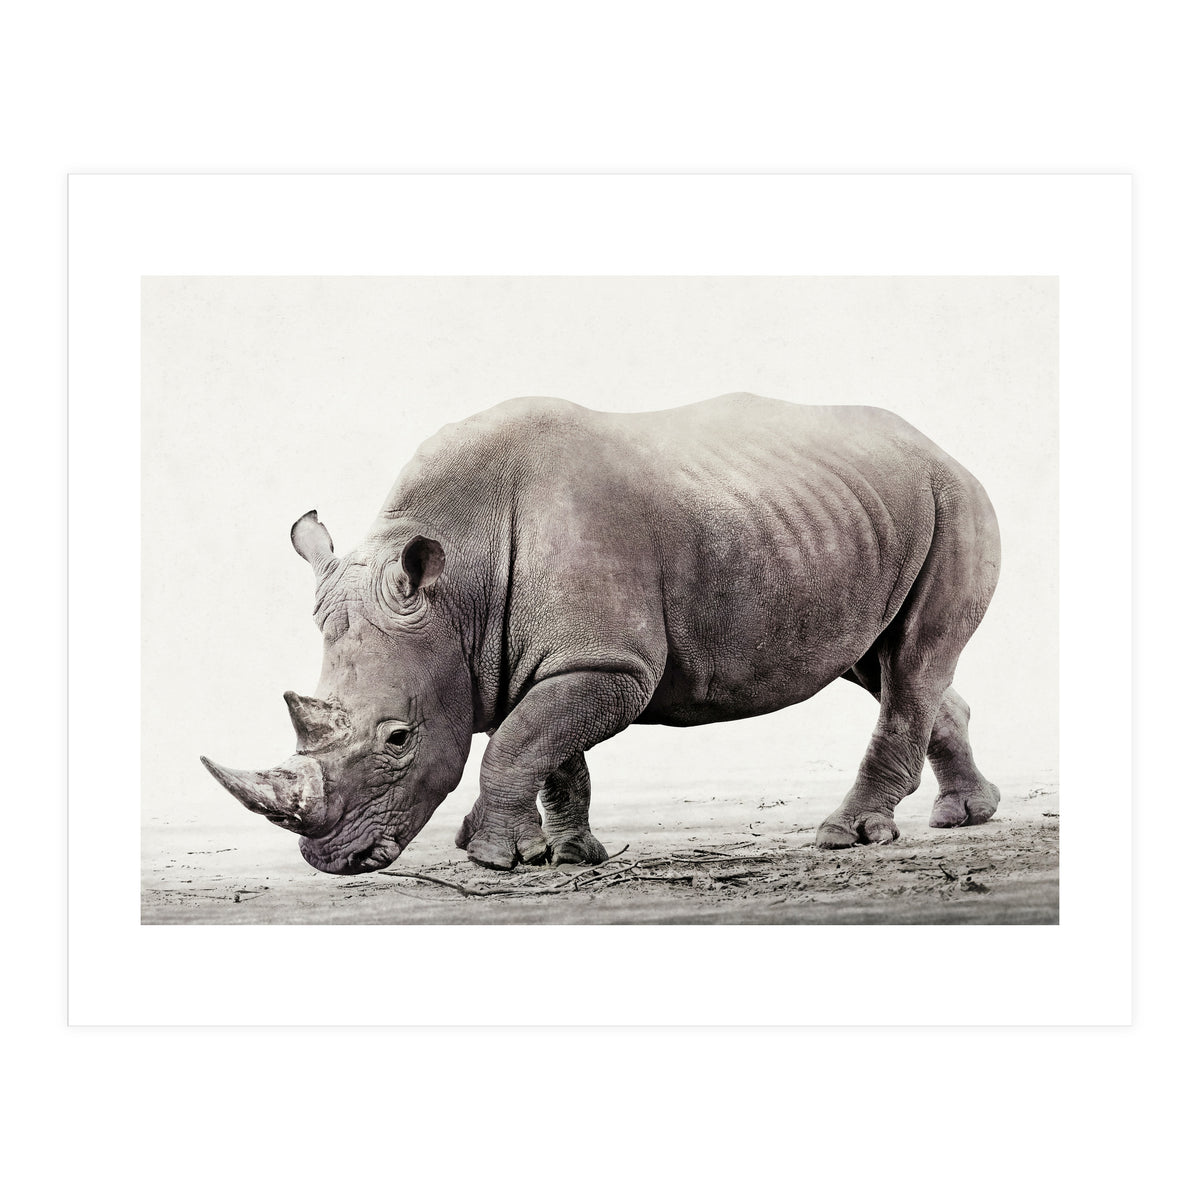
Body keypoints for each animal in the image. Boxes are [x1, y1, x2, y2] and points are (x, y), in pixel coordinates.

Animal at [202, 393, 1001, 874]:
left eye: (398, 739)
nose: (332, 860)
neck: (459, 587)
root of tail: (939, 446)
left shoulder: (609, 662)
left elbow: (520, 741)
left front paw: (493, 859)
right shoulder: (556, 658)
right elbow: (551, 750)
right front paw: (571, 854)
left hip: (955, 500)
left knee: (911, 662)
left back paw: (848, 836)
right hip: (852, 516)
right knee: (882, 664)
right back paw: (965, 816)